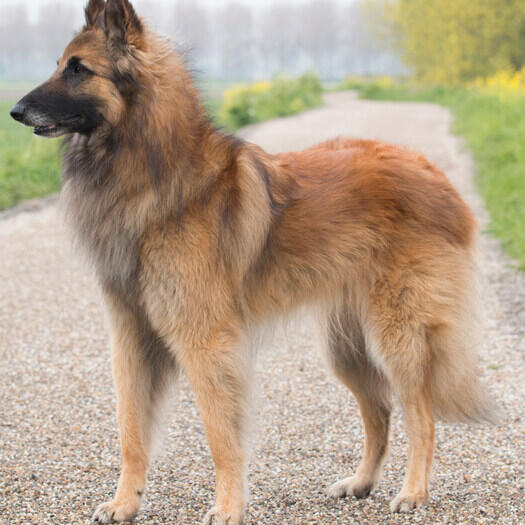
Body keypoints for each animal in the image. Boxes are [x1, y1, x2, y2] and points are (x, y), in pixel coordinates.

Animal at [11, 1, 496, 520]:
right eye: (60, 65)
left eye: (78, 69)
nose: (14, 111)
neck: (154, 172)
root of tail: (438, 176)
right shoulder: (131, 335)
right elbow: (130, 430)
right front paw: (124, 503)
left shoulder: (204, 341)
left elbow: (221, 437)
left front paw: (227, 508)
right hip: (347, 347)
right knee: (380, 414)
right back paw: (362, 482)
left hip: (396, 336)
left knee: (421, 415)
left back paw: (413, 492)